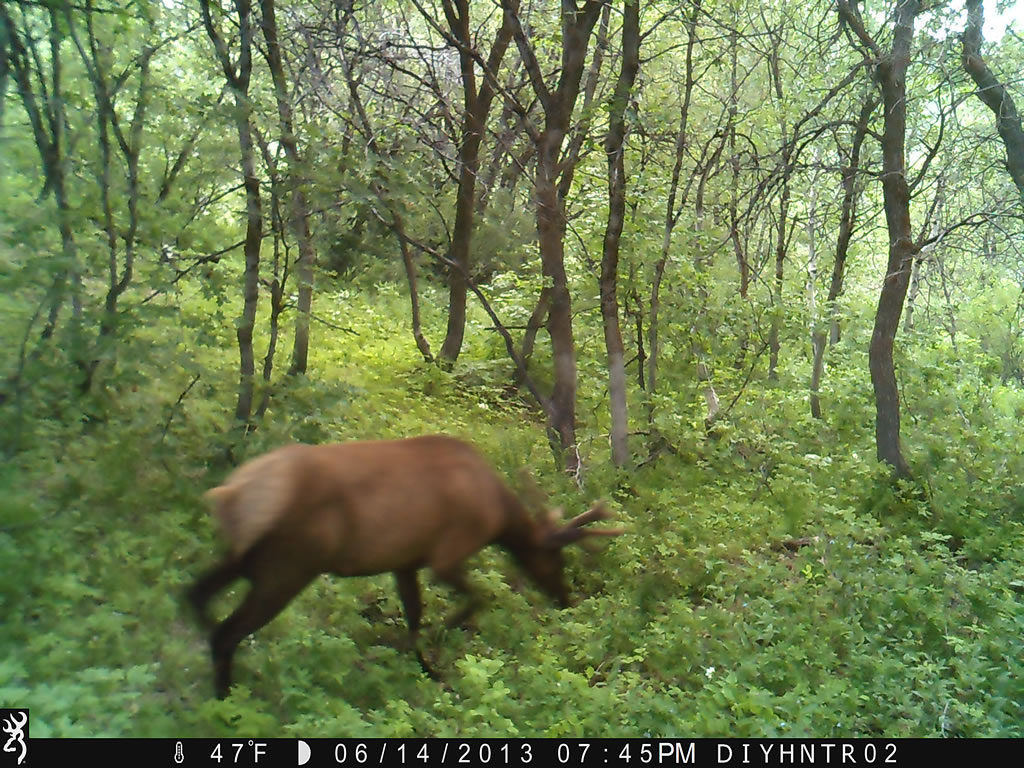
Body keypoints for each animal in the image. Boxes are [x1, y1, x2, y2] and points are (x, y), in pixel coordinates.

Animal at [185, 435, 623, 698]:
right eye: (555, 559)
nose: (566, 597)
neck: (498, 514)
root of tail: (233, 492)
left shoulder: (405, 561)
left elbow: (413, 618)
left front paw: (427, 670)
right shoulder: (447, 553)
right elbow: (475, 598)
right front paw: (446, 635)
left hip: (248, 558)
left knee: (195, 595)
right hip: (289, 565)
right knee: (225, 632)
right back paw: (226, 697)